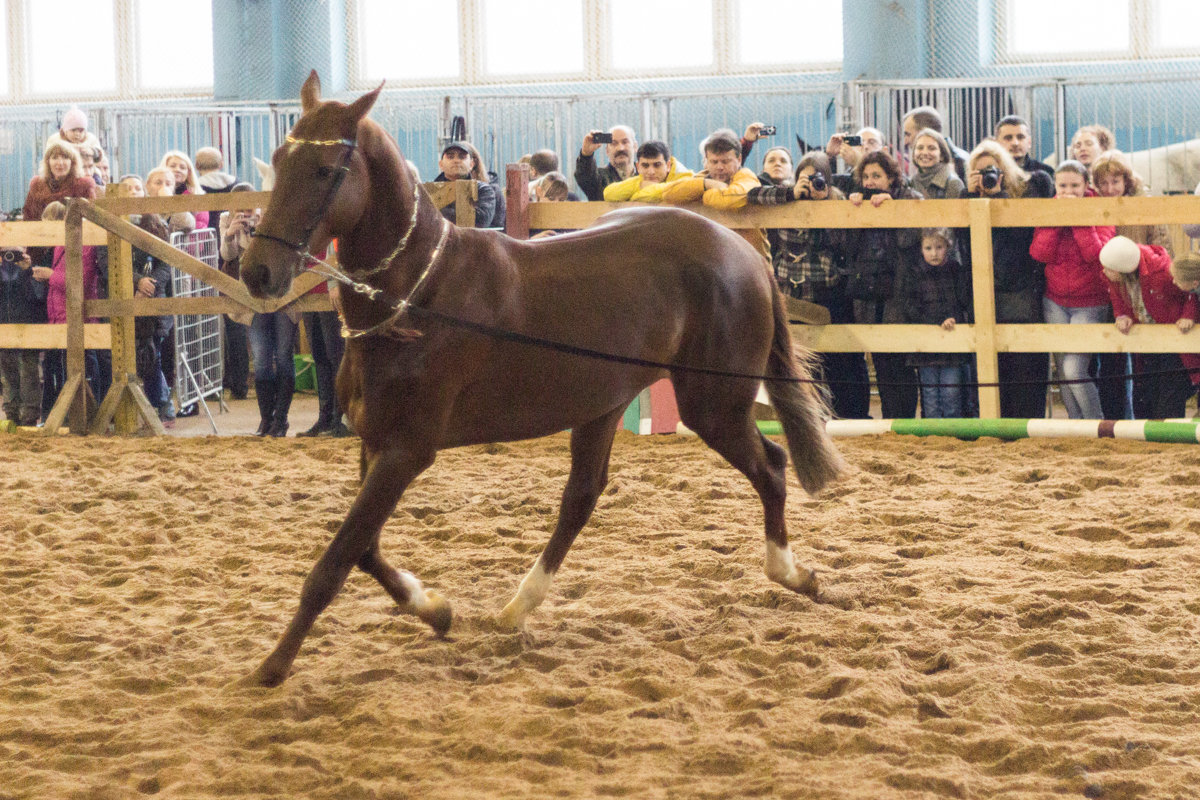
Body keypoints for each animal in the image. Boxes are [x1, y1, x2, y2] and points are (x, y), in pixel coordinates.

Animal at [241, 73, 844, 690]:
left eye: (325, 170)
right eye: (279, 159)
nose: (256, 271)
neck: (418, 297)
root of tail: (743, 254)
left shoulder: (407, 450)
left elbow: (336, 559)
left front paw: (273, 666)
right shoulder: (374, 441)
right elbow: (365, 550)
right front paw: (435, 609)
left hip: (714, 405)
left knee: (770, 466)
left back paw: (793, 574)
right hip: (605, 403)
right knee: (582, 497)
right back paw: (516, 608)